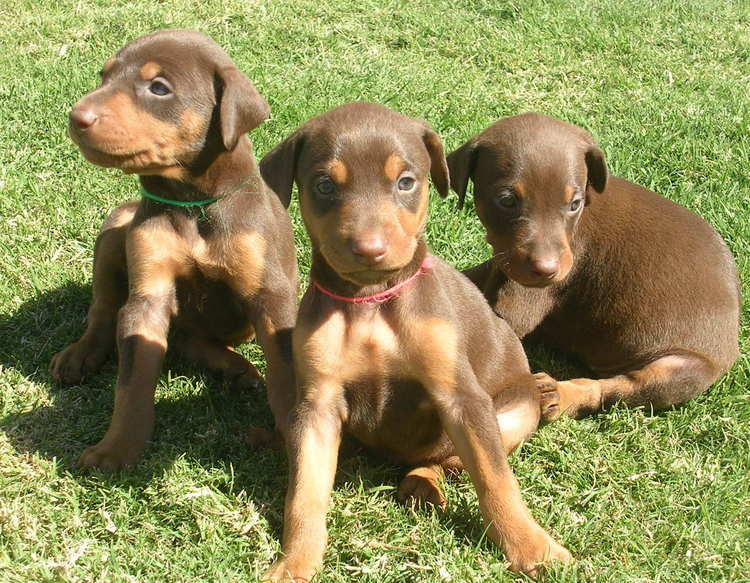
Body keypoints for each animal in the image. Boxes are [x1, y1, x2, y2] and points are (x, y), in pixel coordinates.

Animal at [47, 30, 296, 470]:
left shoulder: (271, 295)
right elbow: (131, 380)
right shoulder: (148, 294)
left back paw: (237, 370)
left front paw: (287, 440)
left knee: (190, 341)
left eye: (159, 88)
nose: (77, 117)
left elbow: (285, 378)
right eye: (104, 76)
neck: (192, 203)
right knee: (104, 310)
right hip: (116, 229)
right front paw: (116, 450)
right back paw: (80, 355)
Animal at [262, 102, 572, 580]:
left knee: (452, 458)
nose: (369, 248)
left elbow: (495, 477)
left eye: (406, 182)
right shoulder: (317, 406)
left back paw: (422, 483)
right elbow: (304, 494)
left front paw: (532, 548)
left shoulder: (461, 396)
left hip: (517, 409)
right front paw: (295, 561)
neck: (371, 299)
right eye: (324, 186)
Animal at [450, 114, 744, 422]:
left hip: (681, 369)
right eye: (507, 200)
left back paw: (556, 394)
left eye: (575, 204)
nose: (547, 269)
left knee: (613, 389)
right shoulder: (500, 265)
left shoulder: (526, 298)